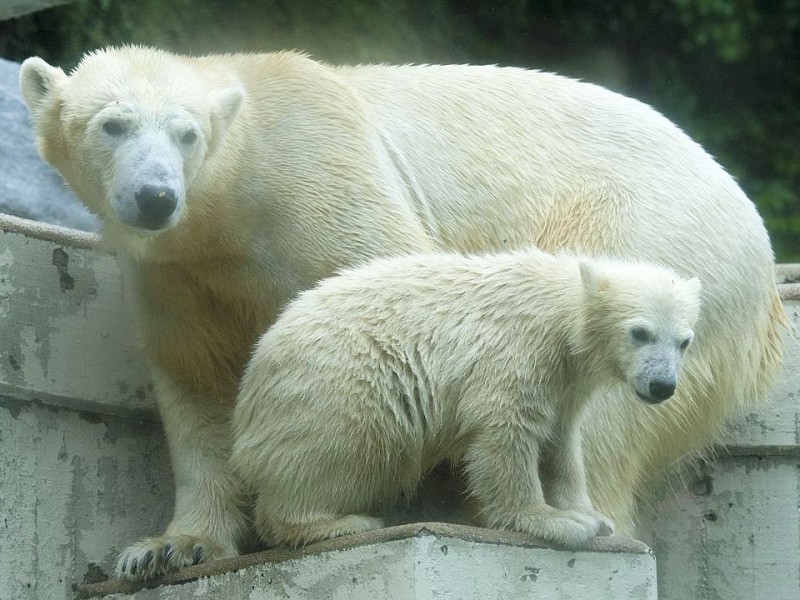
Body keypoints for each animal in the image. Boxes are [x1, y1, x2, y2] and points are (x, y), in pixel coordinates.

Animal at [20, 48, 788, 580]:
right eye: (112, 124)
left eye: (186, 134)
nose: (154, 197)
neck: (231, 202)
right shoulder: (177, 275)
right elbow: (197, 382)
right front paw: (169, 547)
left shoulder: (320, 176)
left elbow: (395, 285)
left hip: (647, 239)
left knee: (596, 401)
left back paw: (554, 518)